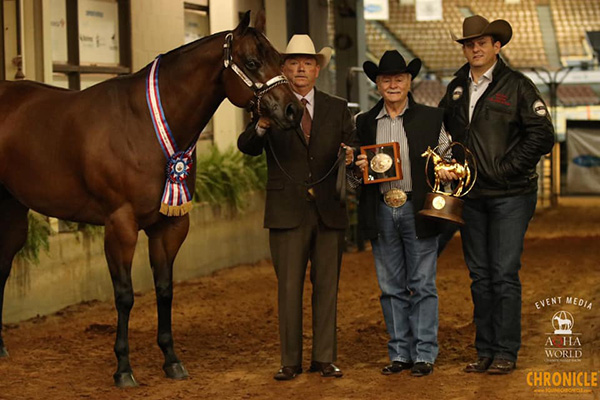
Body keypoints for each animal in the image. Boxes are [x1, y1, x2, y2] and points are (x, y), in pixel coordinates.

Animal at [0, 10, 302, 388]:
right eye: (252, 62)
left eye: (279, 59)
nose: (293, 110)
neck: (141, 124)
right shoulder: (120, 225)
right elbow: (125, 295)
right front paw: (123, 369)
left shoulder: (170, 225)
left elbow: (164, 289)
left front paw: (171, 360)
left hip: (13, 212)